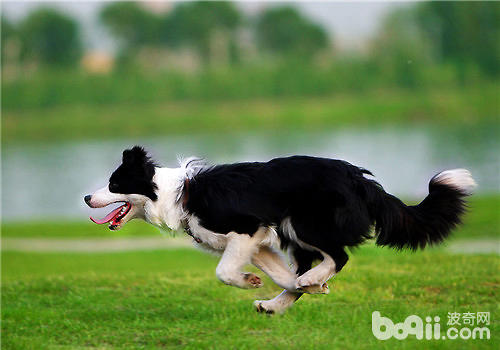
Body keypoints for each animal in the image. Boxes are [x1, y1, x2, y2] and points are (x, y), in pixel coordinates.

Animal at [85, 146, 476, 314]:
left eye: (114, 184)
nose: (87, 196)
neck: (175, 193)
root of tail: (361, 179)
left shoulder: (246, 229)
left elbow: (224, 271)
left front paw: (250, 281)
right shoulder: (258, 244)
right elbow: (280, 274)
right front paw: (305, 288)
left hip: (302, 223)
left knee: (339, 255)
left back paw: (307, 281)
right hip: (294, 232)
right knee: (306, 269)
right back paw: (277, 303)